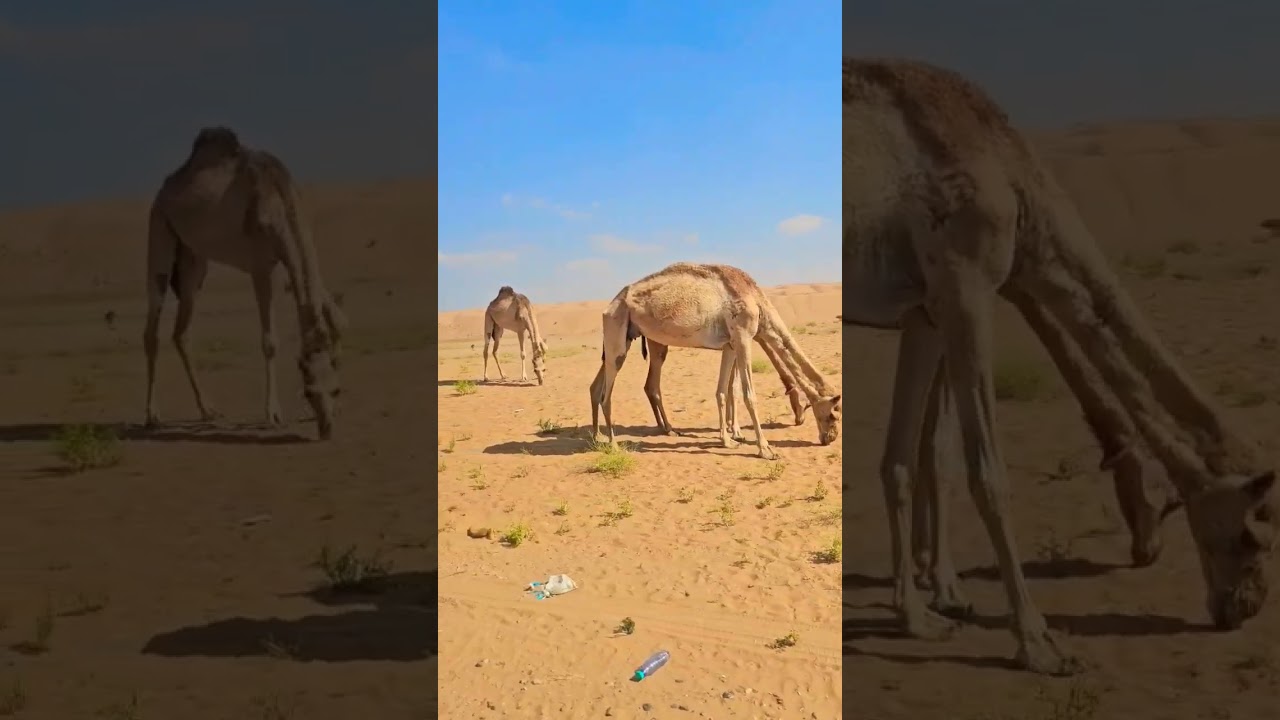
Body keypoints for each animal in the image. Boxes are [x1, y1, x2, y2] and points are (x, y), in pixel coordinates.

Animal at [144, 127, 345, 440]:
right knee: (152, 328)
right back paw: (152, 415)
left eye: (336, 390)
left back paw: (208, 410)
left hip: (192, 260)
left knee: (182, 331)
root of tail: (164, 189)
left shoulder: (290, 260)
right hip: (160, 230)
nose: (326, 430)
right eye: (309, 392)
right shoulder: (261, 265)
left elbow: (337, 319)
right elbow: (270, 341)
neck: (278, 197)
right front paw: (273, 414)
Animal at [591, 262, 841, 460]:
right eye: (833, 413)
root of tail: (611, 303)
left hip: (629, 338)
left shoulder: (730, 345)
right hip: (617, 330)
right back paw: (613, 444)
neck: (756, 300)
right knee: (607, 395)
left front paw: (728, 440)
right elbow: (749, 395)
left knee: (605, 386)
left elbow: (723, 391)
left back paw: (604, 435)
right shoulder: (743, 337)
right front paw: (766, 449)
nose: (831, 437)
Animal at [845, 57, 1279, 675]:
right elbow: (987, 475)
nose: (1243, 608)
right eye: (1251, 536)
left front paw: (921, 619)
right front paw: (1039, 643)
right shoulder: (966, 290)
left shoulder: (927, 311)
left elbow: (906, 460)